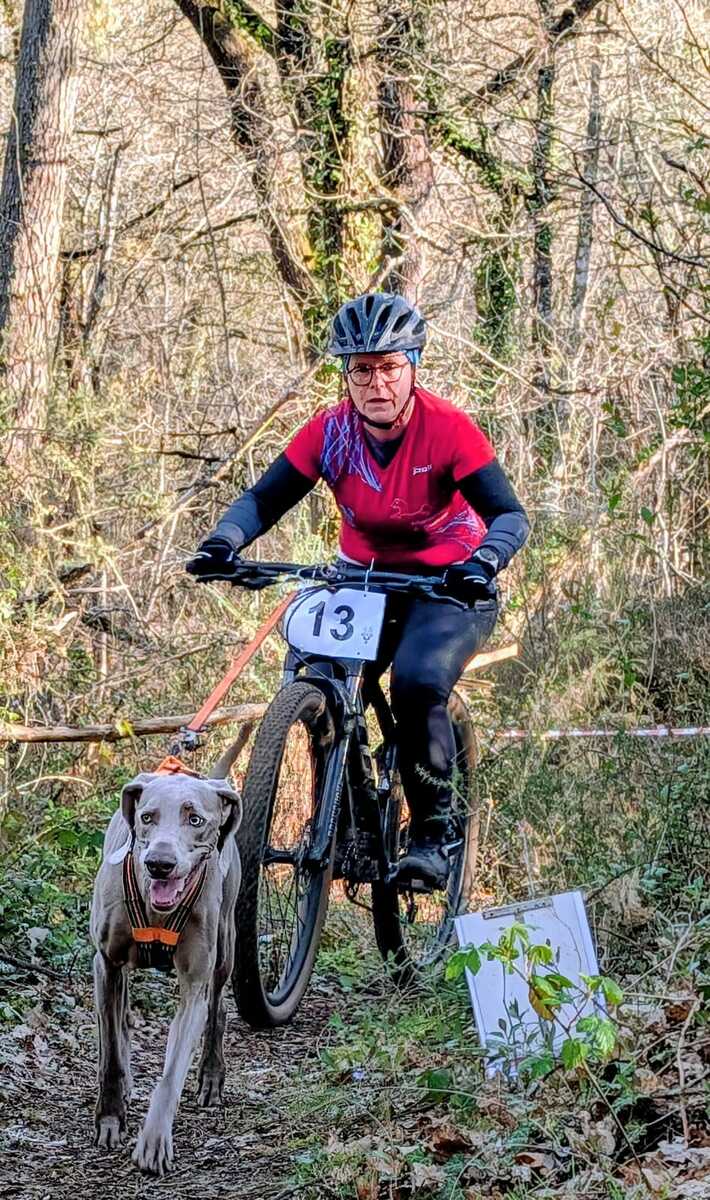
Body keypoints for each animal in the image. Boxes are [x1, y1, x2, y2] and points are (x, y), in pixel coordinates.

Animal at [89, 741, 243, 1175]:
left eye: (195, 819)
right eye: (146, 817)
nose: (159, 863)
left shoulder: (194, 985)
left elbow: (172, 1070)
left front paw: (154, 1140)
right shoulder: (105, 963)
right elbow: (110, 1051)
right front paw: (110, 1117)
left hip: (225, 943)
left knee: (217, 1008)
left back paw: (211, 1077)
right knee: (120, 1022)